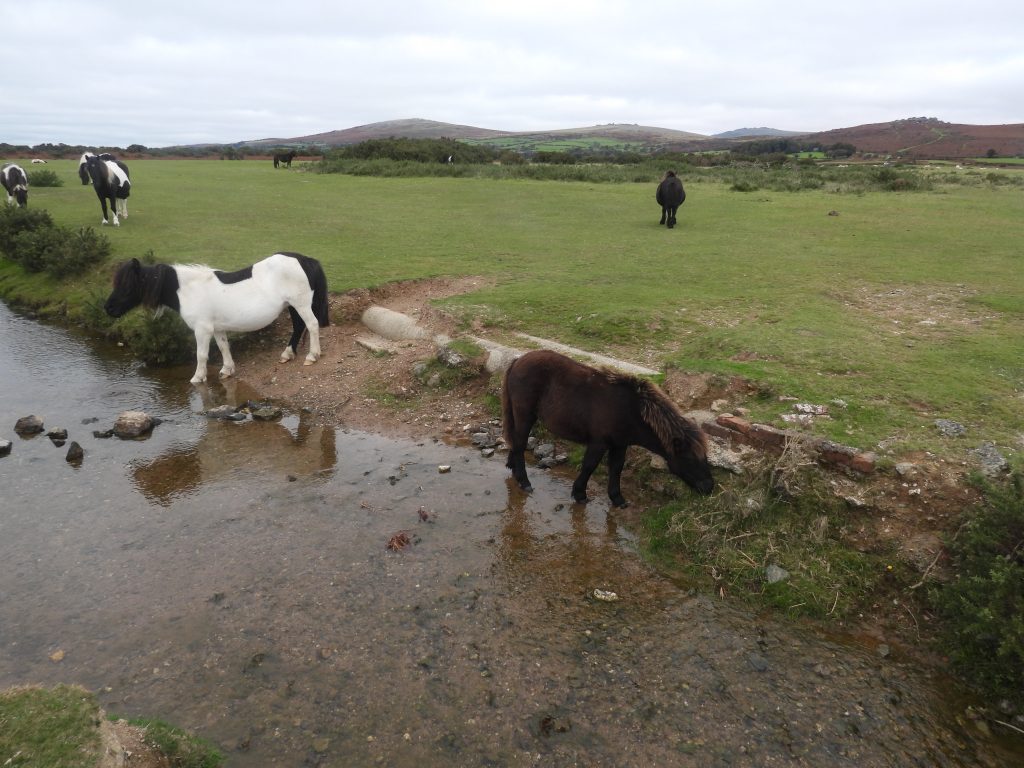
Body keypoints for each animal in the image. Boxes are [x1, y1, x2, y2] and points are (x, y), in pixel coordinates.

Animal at [103, 252, 330, 385]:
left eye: (128, 285)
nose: (108, 308)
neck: (188, 289)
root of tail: (305, 260)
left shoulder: (202, 330)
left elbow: (201, 355)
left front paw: (198, 377)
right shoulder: (218, 328)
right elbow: (223, 347)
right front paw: (227, 370)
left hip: (300, 304)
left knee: (312, 324)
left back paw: (312, 356)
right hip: (292, 306)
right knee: (299, 326)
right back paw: (287, 354)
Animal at [502, 350, 714, 507]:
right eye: (689, 458)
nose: (709, 487)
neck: (630, 410)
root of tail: (518, 360)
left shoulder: (619, 445)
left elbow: (616, 468)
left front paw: (617, 498)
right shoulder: (599, 443)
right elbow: (589, 466)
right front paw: (580, 493)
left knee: (516, 441)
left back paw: (514, 469)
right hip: (525, 415)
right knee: (520, 443)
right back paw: (524, 481)